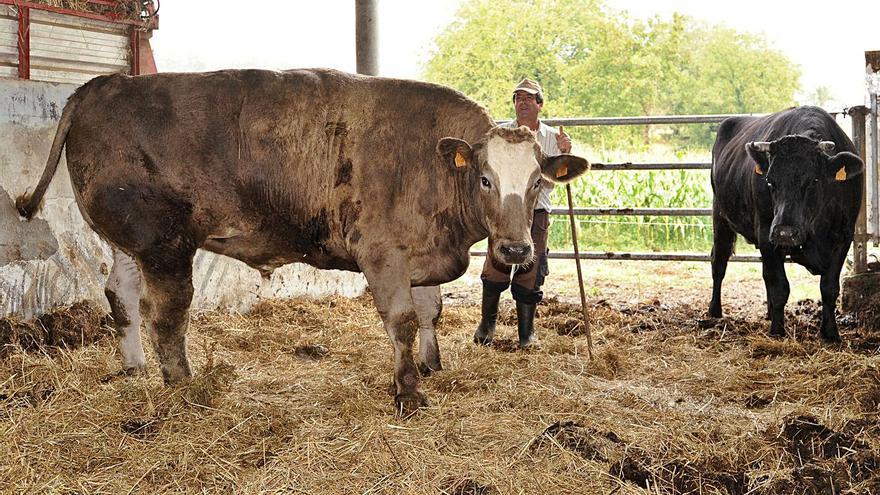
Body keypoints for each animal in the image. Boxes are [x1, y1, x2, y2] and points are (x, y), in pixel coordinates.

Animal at [15, 68, 592, 412]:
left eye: (537, 181)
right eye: (486, 179)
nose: (516, 250)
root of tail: (104, 84)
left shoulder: (421, 255)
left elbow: (430, 313)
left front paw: (432, 365)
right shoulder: (382, 254)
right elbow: (402, 322)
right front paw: (408, 391)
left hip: (129, 242)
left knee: (122, 296)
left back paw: (134, 367)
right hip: (165, 243)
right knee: (168, 315)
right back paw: (184, 386)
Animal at [708, 106, 868, 342]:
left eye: (814, 180)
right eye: (769, 181)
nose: (785, 233)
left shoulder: (843, 236)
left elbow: (829, 288)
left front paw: (831, 333)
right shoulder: (767, 233)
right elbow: (779, 287)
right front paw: (777, 330)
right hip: (720, 217)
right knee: (718, 262)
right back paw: (714, 310)